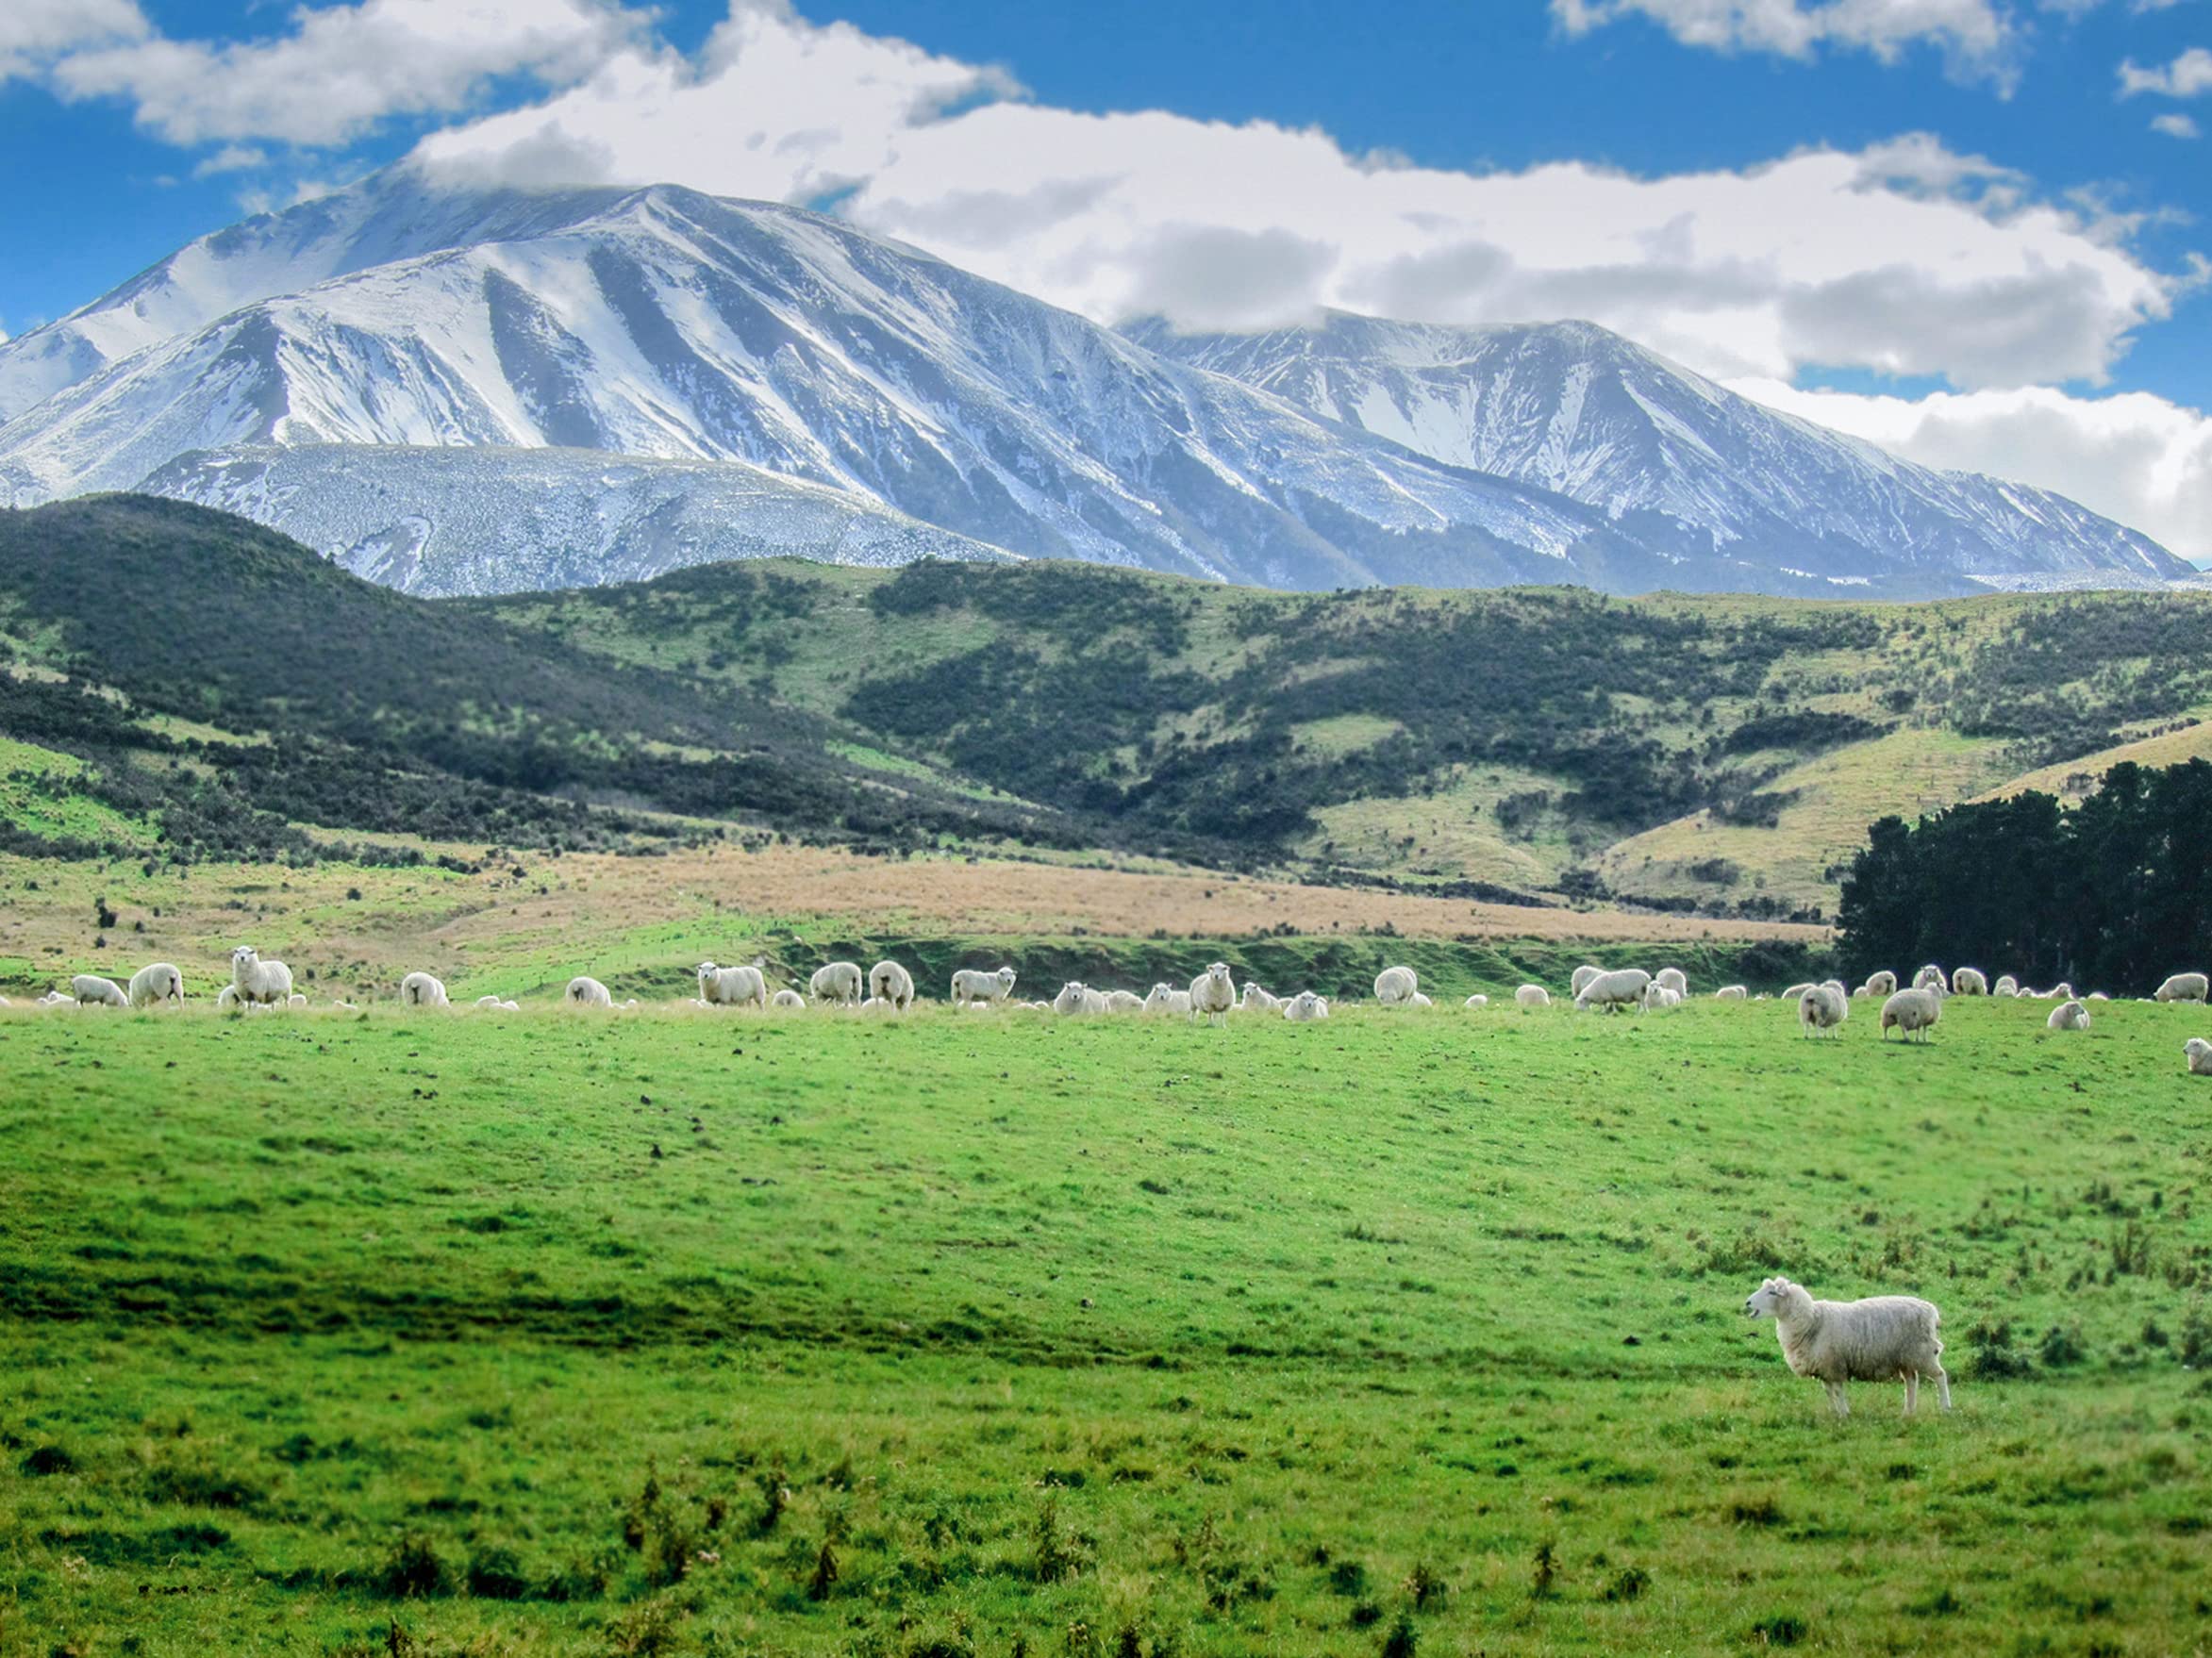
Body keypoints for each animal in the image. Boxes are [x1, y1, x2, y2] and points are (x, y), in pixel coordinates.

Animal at [1742, 1282, 1954, 1423]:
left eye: (1772, 1292)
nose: (1747, 1302)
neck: (1812, 1321)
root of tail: (1931, 1310)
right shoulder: (1824, 1368)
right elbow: (1828, 1391)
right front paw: (1833, 1412)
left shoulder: (1834, 1364)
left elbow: (1837, 1390)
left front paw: (1844, 1413)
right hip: (1906, 1357)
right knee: (1911, 1382)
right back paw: (1908, 1412)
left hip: (1922, 1353)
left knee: (1940, 1376)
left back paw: (1945, 1408)